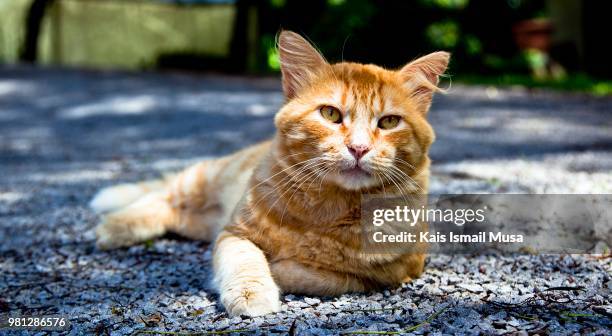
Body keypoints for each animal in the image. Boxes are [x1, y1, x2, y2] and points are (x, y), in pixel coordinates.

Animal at [91, 30, 448, 316]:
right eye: (331, 114)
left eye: (389, 122)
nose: (358, 148)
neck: (329, 211)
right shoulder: (233, 233)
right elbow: (247, 261)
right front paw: (252, 293)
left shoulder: (395, 271)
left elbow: (320, 275)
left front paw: (282, 268)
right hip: (201, 180)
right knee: (160, 195)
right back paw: (114, 226)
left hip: (198, 221)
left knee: (169, 211)